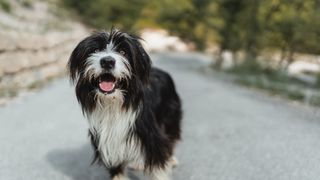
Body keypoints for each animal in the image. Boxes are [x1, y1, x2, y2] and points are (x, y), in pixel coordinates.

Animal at [67, 29, 182, 180]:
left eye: (123, 52)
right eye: (96, 50)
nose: (107, 61)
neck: (113, 104)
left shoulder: (151, 137)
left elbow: (158, 165)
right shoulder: (108, 141)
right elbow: (117, 167)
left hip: (170, 117)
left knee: (171, 138)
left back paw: (171, 159)